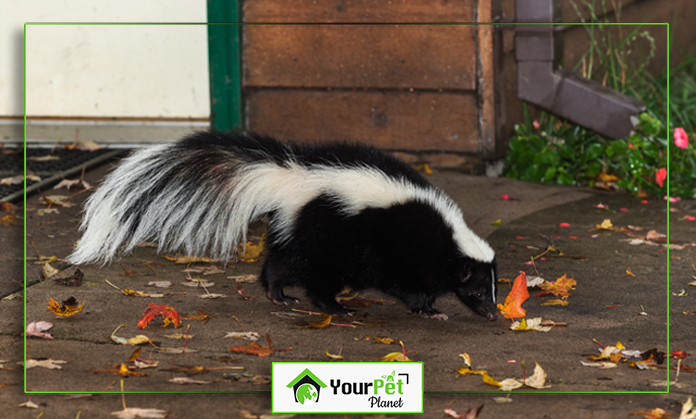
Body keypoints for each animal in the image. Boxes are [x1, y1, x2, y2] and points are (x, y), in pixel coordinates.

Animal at [68, 131, 498, 322]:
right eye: (478, 291)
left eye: (494, 289)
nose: (494, 314)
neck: (449, 237)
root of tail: (292, 178)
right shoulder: (404, 251)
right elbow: (408, 286)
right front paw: (429, 310)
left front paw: (432, 308)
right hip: (327, 237)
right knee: (307, 274)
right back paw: (328, 305)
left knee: (282, 262)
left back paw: (283, 296)